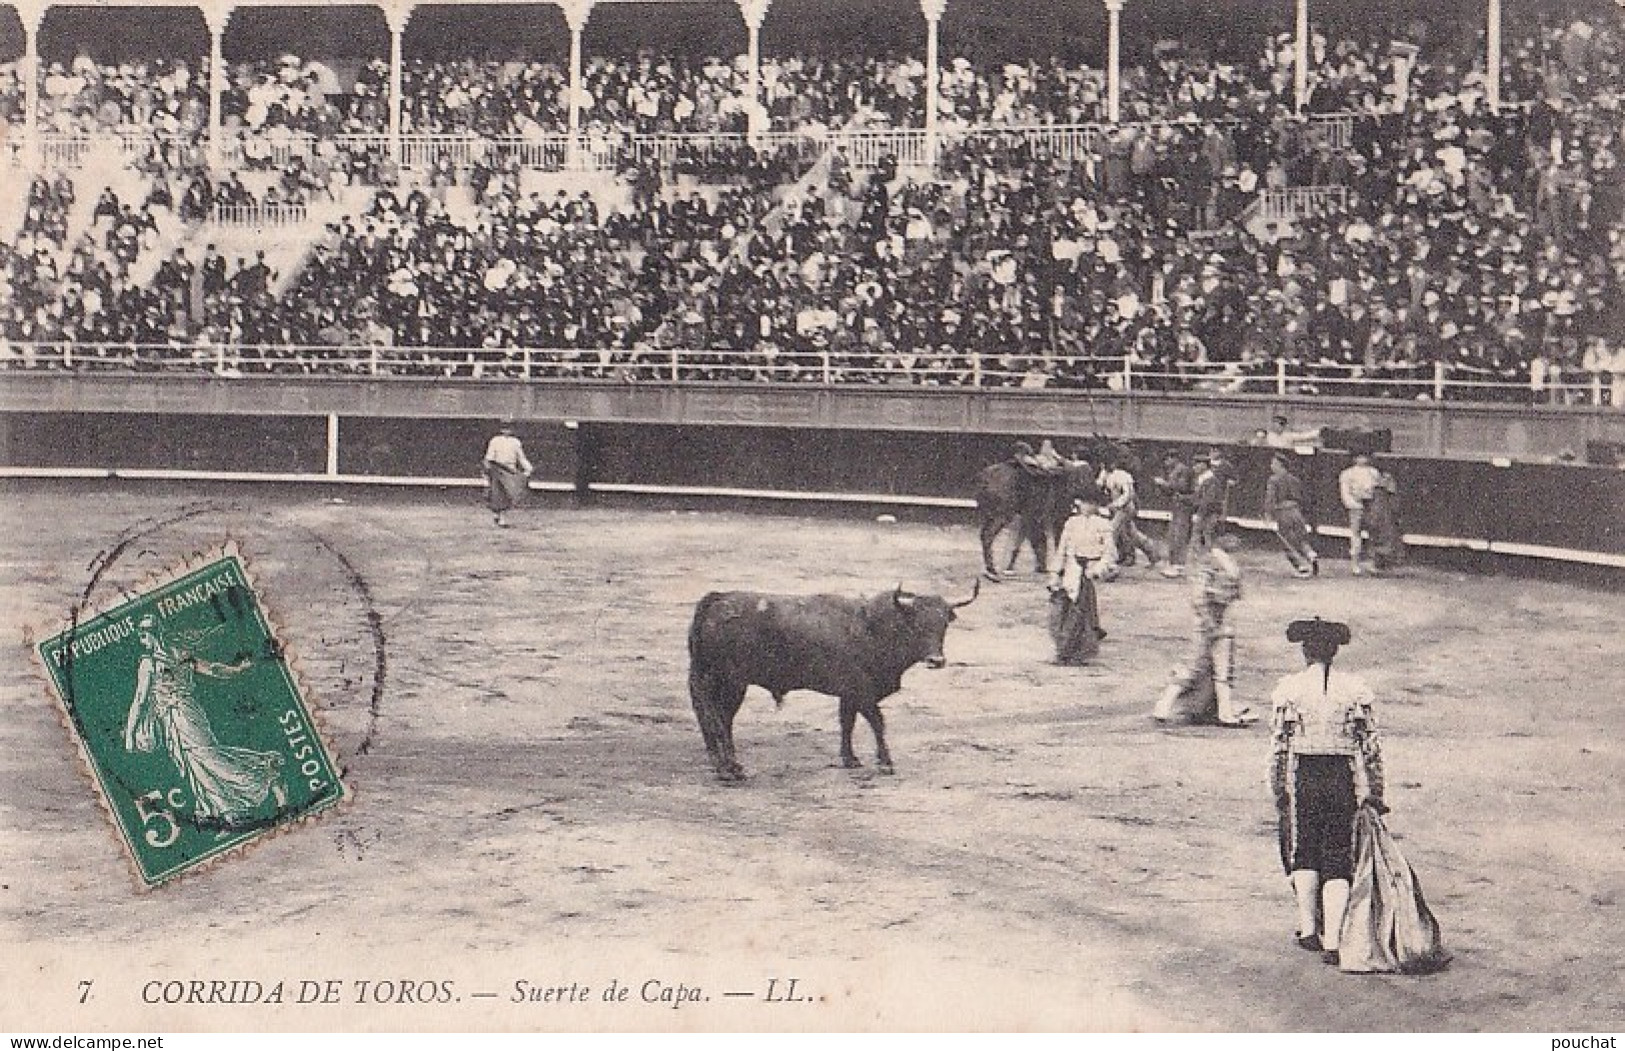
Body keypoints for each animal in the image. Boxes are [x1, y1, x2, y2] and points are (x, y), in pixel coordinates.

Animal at [685, 584, 975, 779]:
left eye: (943, 624)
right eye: (916, 624)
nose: (936, 660)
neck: (872, 628)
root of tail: (719, 598)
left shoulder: (849, 695)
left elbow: (847, 723)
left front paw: (851, 759)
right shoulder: (862, 692)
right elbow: (877, 722)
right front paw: (885, 762)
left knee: (715, 719)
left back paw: (723, 765)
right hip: (730, 682)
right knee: (717, 719)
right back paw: (729, 770)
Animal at [968, 438, 1137, 584]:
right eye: (1115, 448)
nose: (1135, 464)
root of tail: (983, 476)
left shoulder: (1034, 517)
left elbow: (1039, 540)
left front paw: (1042, 567)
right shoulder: (1056, 516)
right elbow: (1054, 539)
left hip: (990, 514)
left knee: (984, 535)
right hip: (1002, 515)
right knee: (988, 536)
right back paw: (992, 571)